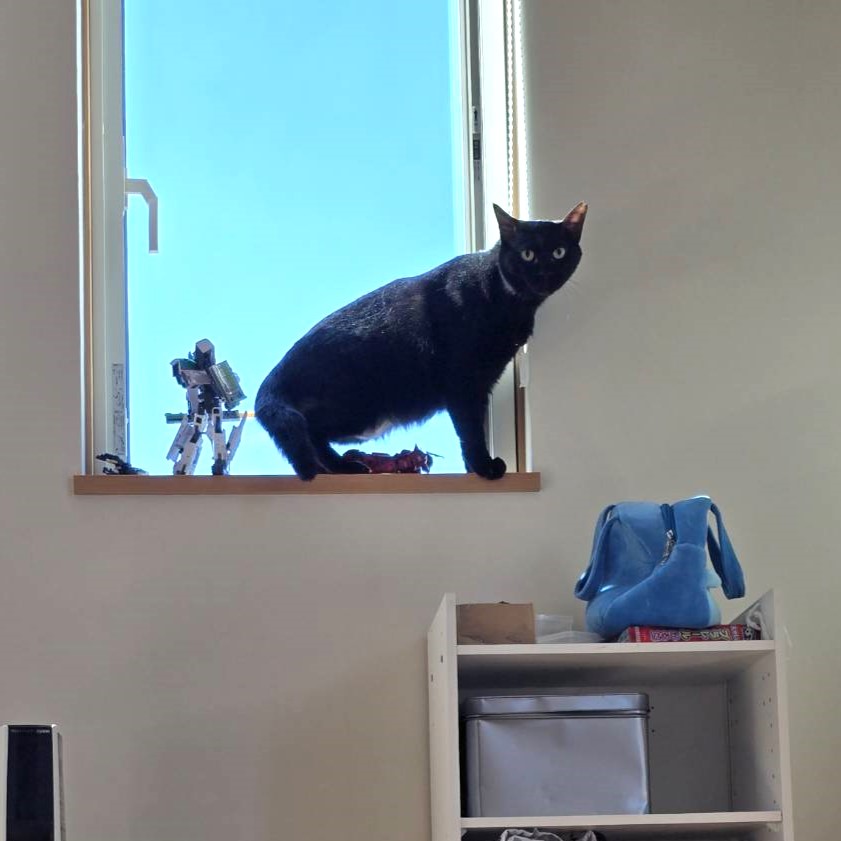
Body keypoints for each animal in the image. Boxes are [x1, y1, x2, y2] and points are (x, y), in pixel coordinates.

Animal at [255, 202, 587, 480]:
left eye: (559, 252)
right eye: (527, 254)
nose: (544, 273)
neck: (510, 303)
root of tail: (273, 380)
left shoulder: (481, 383)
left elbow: (473, 427)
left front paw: (473, 469)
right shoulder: (463, 383)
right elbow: (470, 430)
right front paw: (484, 468)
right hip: (361, 408)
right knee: (308, 430)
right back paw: (342, 467)